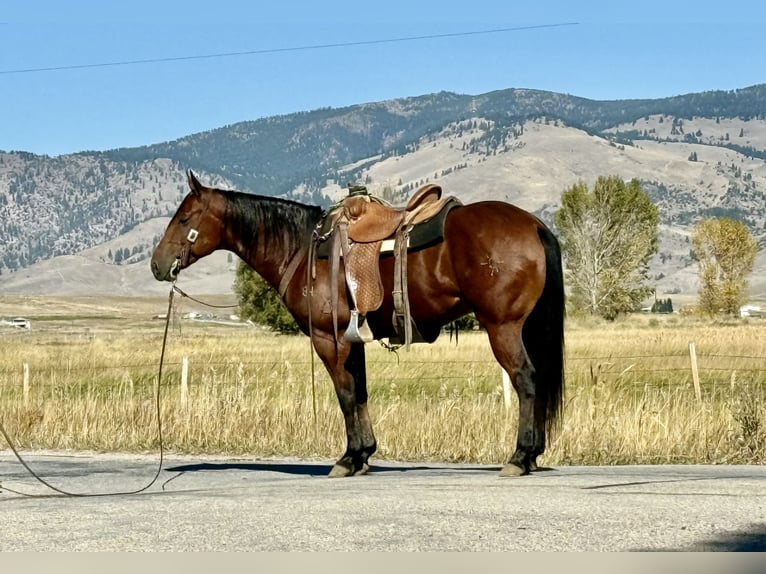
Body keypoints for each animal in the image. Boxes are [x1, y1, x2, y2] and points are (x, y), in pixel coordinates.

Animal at [153, 173, 568, 480]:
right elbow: (362, 393)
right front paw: (364, 455)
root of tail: (534, 224)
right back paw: (532, 455)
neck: (302, 249)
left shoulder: (330, 338)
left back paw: (520, 456)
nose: (157, 264)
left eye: (185, 219)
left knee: (527, 379)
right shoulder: (355, 341)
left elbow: (346, 395)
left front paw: (349, 459)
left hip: (503, 327)